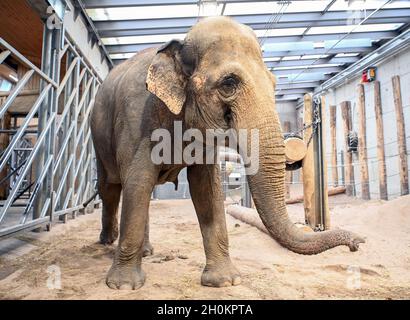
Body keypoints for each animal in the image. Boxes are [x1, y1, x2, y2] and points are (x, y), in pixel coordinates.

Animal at [90, 16, 366, 290]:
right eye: (229, 83)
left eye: (274, 84)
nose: (358, 243)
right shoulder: (137, 121)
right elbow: (138, 181)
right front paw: (123, 286)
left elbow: (207, 188)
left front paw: (225, 281)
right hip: (98, 139)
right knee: (112, 188)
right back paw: (107, 241)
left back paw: (145, 251)